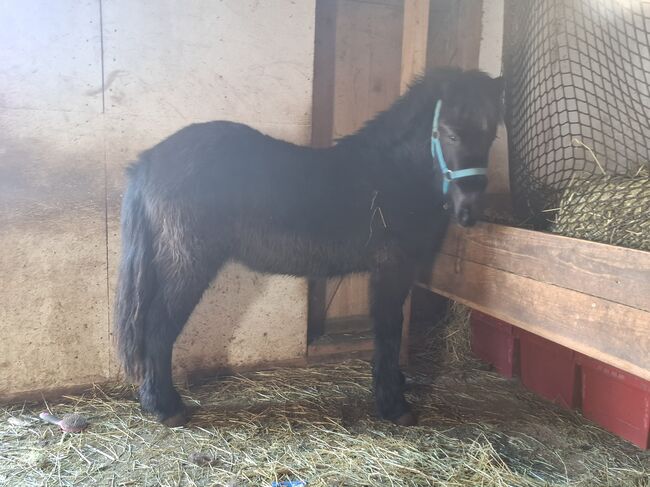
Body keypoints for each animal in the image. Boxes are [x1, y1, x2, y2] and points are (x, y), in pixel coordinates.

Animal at [115, 67, 504, 427]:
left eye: (491, 134)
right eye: (449, 132)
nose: (469, 212)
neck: (391, 174)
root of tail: (148, 161)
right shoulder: (391, 268)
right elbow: (389, 329)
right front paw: (393, 405)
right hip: (188, 264)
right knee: (159, 327)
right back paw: (166, 408)